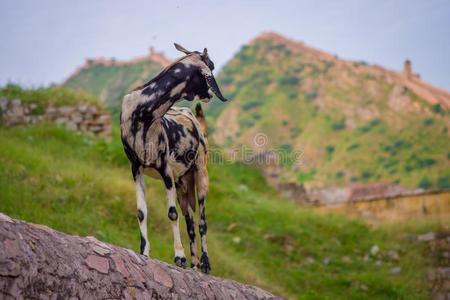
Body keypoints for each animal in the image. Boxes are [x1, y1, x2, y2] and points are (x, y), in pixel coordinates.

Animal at [119, 43, 227, 274]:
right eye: (211, 65)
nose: (210, 95)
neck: (145, 113)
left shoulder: (164, 169)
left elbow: (171, 214)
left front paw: (179, 257)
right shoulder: (136, 168)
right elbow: (142, 211)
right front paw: (144, 252)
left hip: (200, 175)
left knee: (202, 221)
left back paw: (205, 263)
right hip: (182, 184)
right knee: (190, 223)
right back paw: (194, 266)